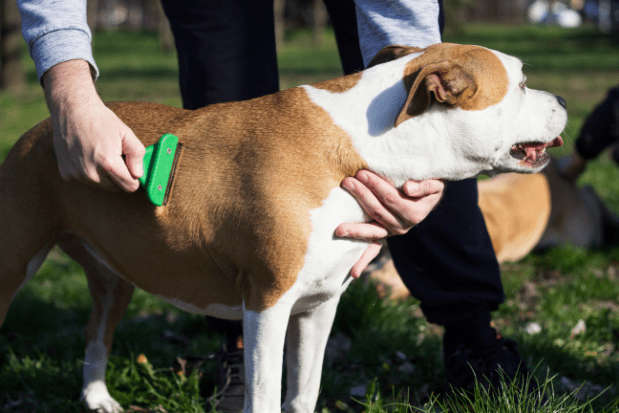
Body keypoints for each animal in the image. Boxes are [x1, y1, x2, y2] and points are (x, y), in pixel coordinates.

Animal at [0, 43, 568, 410]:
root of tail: (39, 128)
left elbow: (303, 392)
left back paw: (97, 398)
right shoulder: (267, 304)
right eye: (521, 84)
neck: (368, 142)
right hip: (13, 265)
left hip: (114, 275)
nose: (563, 101)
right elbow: (266, 395)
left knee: (96, 334)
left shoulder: (320, 304)